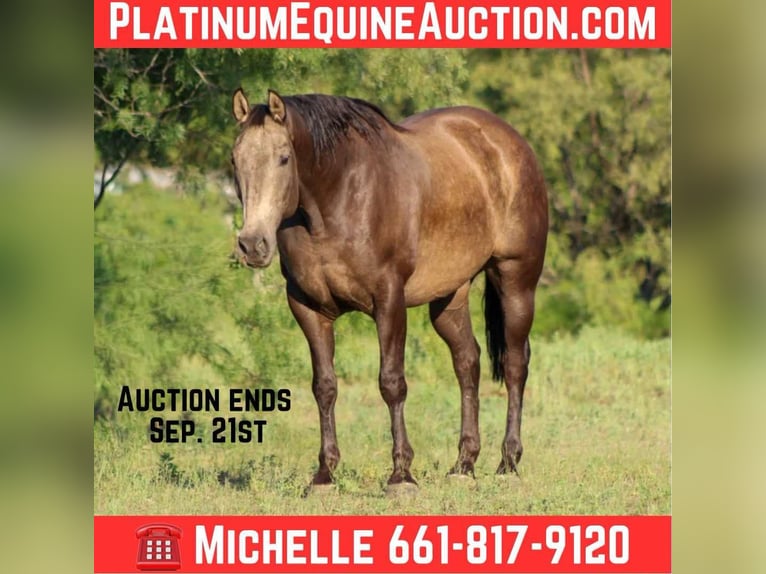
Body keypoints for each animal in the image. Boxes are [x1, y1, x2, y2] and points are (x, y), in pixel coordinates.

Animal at [229, 88, 548, 494]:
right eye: (235, 159)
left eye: (284, 157)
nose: (253, 245)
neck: (336, 199)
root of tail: (512, 143)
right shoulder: (308, 308)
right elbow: (325, 386)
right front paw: (324, 474)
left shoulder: (389, 301)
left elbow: (392, 383)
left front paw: (401, 475)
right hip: (449, 298)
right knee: (468, 363)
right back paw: (464, 464)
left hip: (516, 280)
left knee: (514, 364)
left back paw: (508, 462)